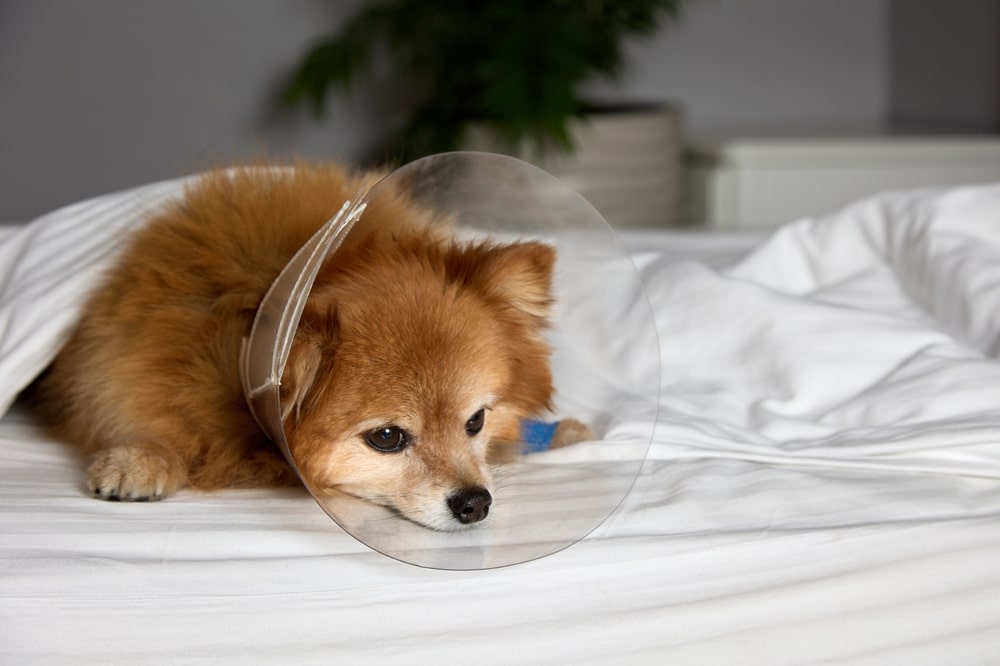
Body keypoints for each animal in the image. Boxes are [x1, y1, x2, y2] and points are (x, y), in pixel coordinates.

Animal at [31, 161, 584, 528]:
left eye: (476, 421)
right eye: (388, 438)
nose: (476, 502)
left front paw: (564, 432)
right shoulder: (127, 361)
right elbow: (153, 413)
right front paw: (142, 457)